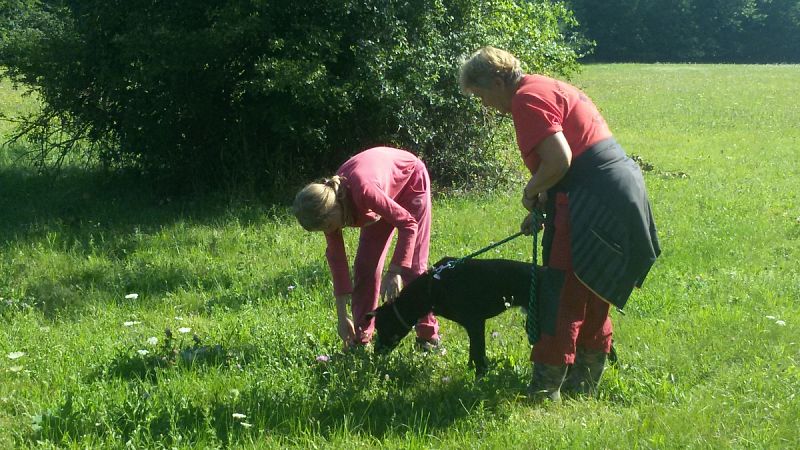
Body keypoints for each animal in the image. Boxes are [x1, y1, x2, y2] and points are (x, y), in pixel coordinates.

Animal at [368, 256, 536, 376]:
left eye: (382, 328)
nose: (376, 352)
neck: (433, 285)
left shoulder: (475, 323)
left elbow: (478, 353)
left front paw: (480, 376)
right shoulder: (472, 326)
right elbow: (473, 352)